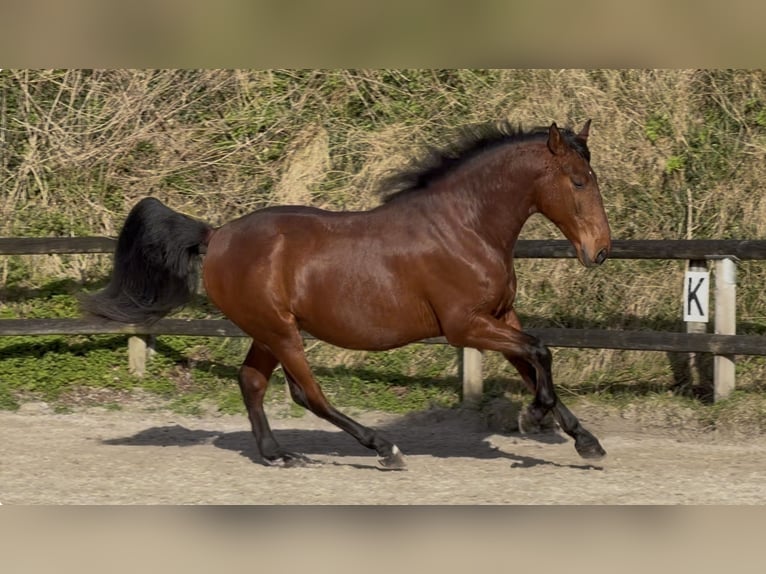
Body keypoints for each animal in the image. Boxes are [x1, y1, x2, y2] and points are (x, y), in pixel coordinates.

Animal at [82, 120, 611, 469]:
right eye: (578, 181)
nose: (601, 251)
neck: (466, 227)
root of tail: (216, 236)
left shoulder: (502, 316)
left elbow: (534, 362)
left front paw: (584, 441)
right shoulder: (466, 327)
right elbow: (541, 353)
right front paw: (533, 418)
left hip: (267, 331)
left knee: (252, 382)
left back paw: (277, 455)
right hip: (281, 331)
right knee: (307, 393)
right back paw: (383, 449)